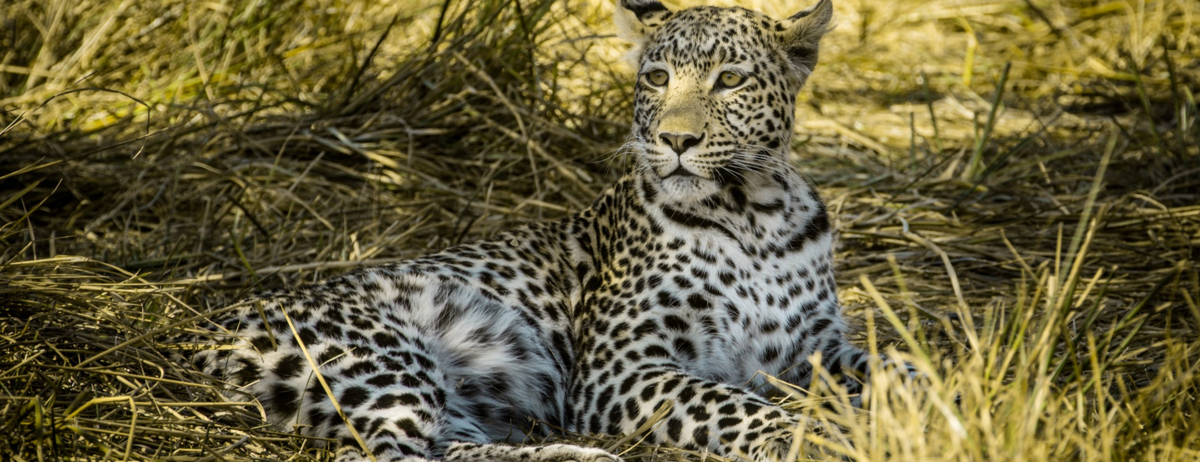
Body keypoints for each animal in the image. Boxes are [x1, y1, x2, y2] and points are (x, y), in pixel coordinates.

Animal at [191, 0, 891, 461]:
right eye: (657, 78)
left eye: (731, 80)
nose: (675, 140)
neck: (754, 217)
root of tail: (198, 330)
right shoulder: (620, 367)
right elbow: (728, 401)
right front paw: (798, 435)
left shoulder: (815, 348)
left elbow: (895, 364)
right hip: (381, 357)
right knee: (389, 453)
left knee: (446, 448)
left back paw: (569, 456)